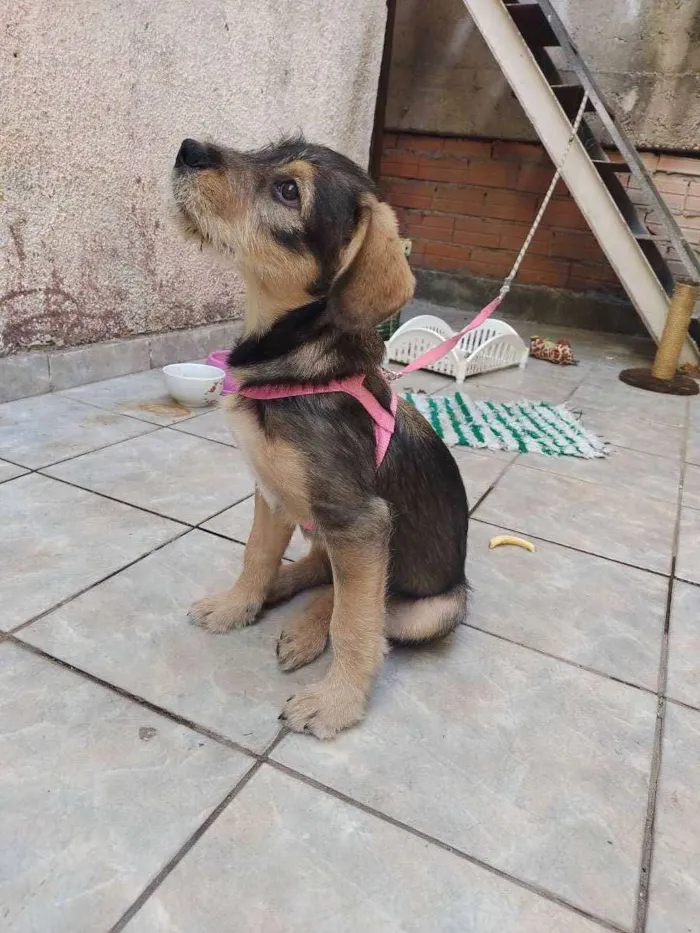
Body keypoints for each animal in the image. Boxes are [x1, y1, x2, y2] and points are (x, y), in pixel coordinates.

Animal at [172, 137, 468, 736]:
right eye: (263, 150)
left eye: (289, 191)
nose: (188, 149)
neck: (294, 358)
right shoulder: (271, 493)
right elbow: (257, 556)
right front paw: (238, 605)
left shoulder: (360, 520)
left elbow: (356, 625)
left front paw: (337, 703)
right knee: (323, 570)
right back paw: (283, 595)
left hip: (434, 606)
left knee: (367, 604)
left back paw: (310, 628)